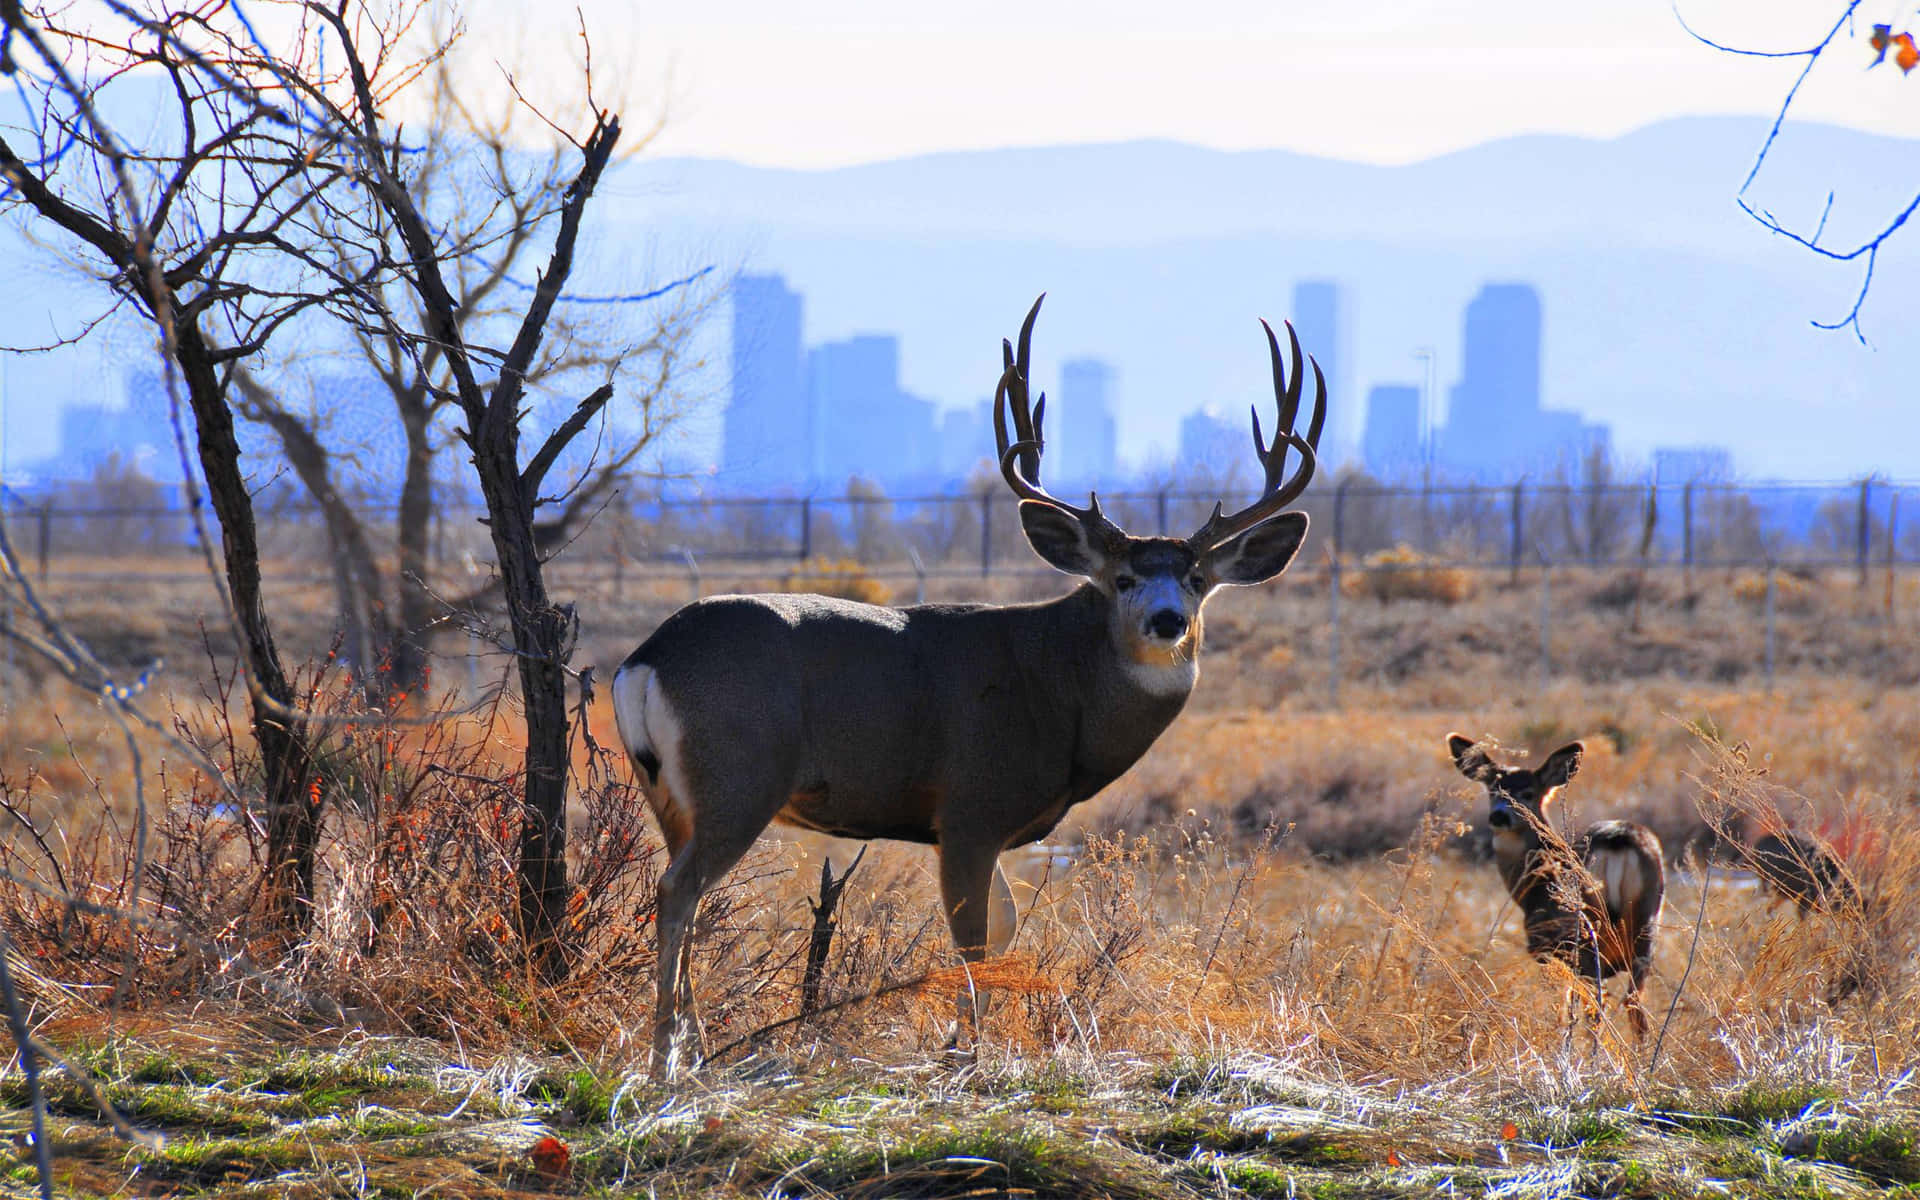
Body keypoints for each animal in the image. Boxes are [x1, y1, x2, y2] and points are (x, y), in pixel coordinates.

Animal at [1451, 733, 1666, 1036]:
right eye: (1493, 791)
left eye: (1528, 793)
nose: (1499, 816)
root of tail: (1617, 839)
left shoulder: (1546, 947)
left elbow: (1562, 1007)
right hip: (1647, 923)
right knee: (1634, 1005)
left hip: (1582, 934)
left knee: (1597, 1007)